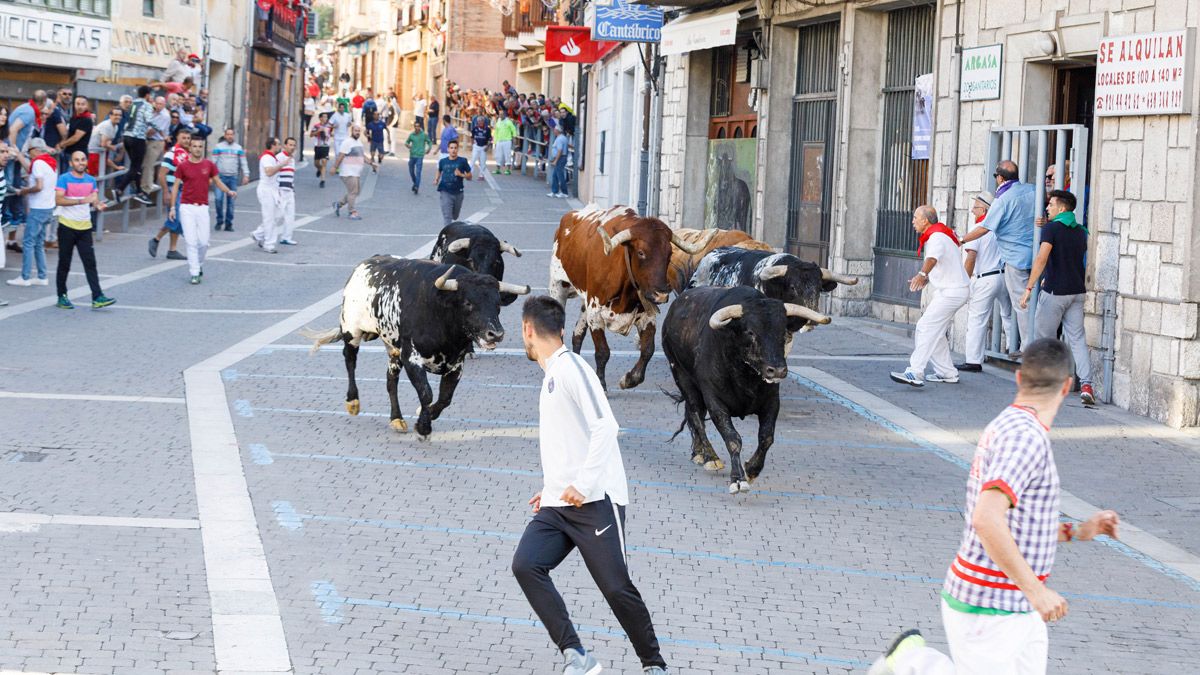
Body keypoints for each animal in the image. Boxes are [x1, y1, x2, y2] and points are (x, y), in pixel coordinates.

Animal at [302, 254, 528, 439]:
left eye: (498, 304)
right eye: (468, 303)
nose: (496, 334)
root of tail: (364, 265)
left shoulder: (456, 364)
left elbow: (445, 398)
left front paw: (426, 414)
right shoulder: (411, 357)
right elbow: (426, 392)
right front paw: (423, 427)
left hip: (393, 349)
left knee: (391, 379)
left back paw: (396, 419)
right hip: (352, 330)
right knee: (350, 360)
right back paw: (353, 402)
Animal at [549, 201, 715, 386]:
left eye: (670, 253)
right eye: (641, 252)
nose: (661, 294)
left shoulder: (647, 315)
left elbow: (648, 350)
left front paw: (629, 379)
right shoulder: (595, 314)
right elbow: (602, 352)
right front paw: (601, 384)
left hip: (585, 302)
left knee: (577, 334)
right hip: (558, 288)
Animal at [662, 285, 820, 492]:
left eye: (783, 332)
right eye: (750, 332)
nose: (777, 370)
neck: (745, 375)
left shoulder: (771, 401)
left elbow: (766, 437)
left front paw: (752, 469)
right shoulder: (715, 401)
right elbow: (733, 438)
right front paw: (738, 479)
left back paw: (698, 453)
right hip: (682, 377)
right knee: (696, 415)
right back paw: (711, 457)